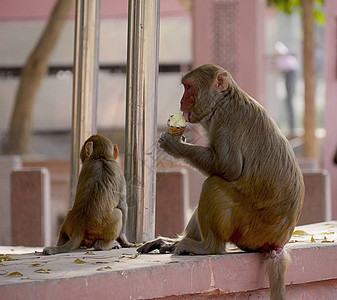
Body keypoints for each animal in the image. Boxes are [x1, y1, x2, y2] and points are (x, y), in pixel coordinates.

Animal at [138, 64, 304, 298]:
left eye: (189, 88)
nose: (181, 102)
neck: (223, 101)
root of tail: (277, 243)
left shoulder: (226, 121)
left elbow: (228, 167)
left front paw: (175, 146)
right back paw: (177, 242)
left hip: (250, 229)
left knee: (213, 184)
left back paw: (208, 247)